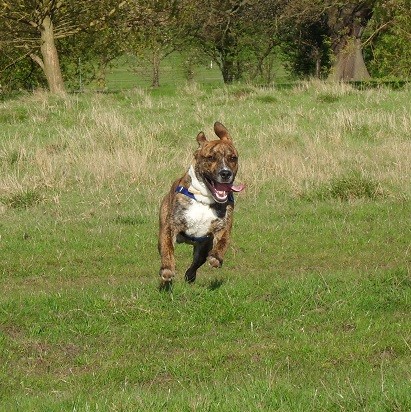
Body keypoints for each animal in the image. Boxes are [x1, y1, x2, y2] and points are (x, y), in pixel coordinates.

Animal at [159, 122, 245, 288]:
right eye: (211, 157)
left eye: (233, 158)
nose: (226, 173)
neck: (205, 198)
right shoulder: (170, 226)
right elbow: (168, 249)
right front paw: (167, 269)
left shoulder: (223, 226)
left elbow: (224, 240)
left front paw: (216, 258)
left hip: (203, 248)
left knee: (196, 263)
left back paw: (190, 276)